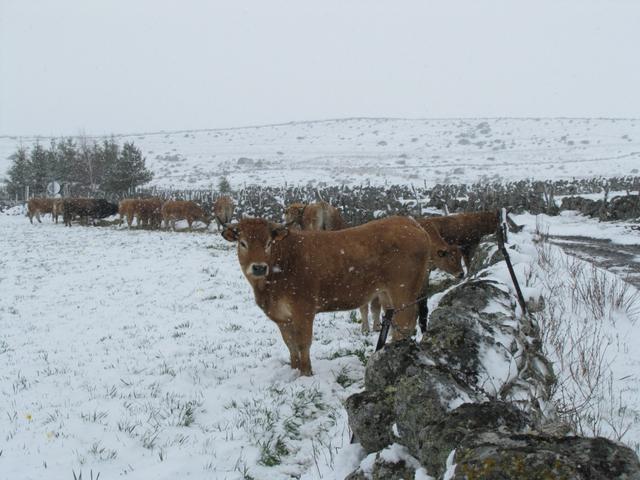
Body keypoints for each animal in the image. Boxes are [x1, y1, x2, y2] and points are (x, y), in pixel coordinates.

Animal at [222, 216, 462, 376]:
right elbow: (290, 345)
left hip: (403, 290)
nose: (259, 267)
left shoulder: (303, 310)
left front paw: (306, 374)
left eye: (268, 243)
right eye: (242, 243)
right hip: (389, 294)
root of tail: (411, 223)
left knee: (405, 324)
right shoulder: (281, 316)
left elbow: (303, 343)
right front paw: (294, 369)